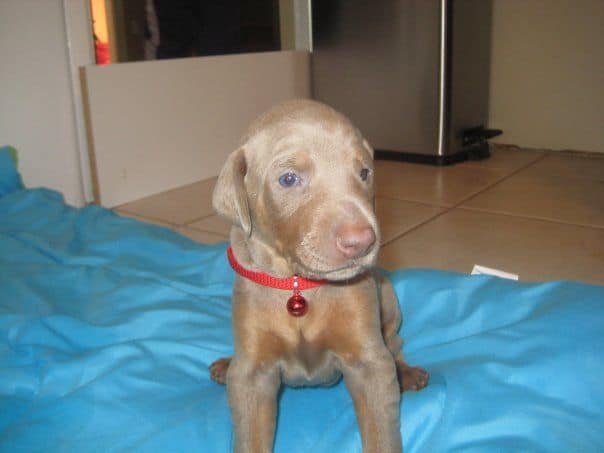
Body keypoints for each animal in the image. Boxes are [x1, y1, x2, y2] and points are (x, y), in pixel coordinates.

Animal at [210, 100, 428, 452]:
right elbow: (249, 435)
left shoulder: (369, 362)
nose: (361, 241)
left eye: (364, 173)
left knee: (394, 342)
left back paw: (406, 372)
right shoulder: (252, 376)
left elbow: (381, 432)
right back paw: (226, 364)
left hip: (387, 294)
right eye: (288, 179)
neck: (299, 285)